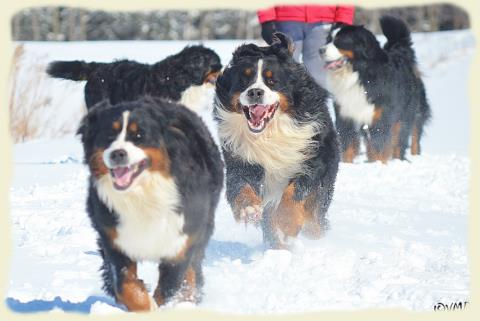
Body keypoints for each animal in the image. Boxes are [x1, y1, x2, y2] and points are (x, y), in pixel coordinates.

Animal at [77, 95, 223, 310]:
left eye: (139, 135)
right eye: (109, 135)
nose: (117, 153)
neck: (143, 195)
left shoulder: (179, 242)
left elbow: (169, 287)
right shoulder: (115, 240)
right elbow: (126, 286)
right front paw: (146, 305)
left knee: (193, 271)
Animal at [214, 31, 342, 248]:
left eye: (272, 81)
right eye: (244, 80)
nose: (255, 92)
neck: (270, 132)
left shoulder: (312, 157)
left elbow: (295, 191)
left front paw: (287, 222)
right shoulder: (241, 158)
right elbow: (240, 185)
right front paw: (249, 208)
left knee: (315, 220)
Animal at [320, 15, 434, 162]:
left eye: (339, 41)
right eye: (328, 39)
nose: (320, 50)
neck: (359, 75)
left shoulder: (381, 117)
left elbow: (380, 146)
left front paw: (379, 164)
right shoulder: (345, 115)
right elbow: (348, 145)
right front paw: (347, 164)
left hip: (409, 113)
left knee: (409, 138)